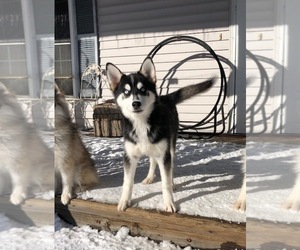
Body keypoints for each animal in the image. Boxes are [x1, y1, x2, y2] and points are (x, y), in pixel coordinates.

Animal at [105, 57, 213, 212]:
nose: (136, 103)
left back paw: (172, 182)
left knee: (170, 165)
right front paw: (124, 201)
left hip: (170, 145)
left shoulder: (164, 154)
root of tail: (165, 97)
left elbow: (165, 183)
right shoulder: (130, 156)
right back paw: (150, 177)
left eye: (143, 89)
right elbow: (128, 182)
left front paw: (169, 203)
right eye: (126, 92)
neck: (141, 123)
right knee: (152, 160)